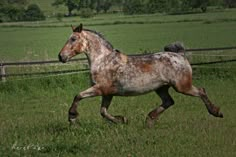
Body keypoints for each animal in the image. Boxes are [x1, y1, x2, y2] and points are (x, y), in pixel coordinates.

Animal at [57, 23, 223, 127]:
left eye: (73, 39)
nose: (61, 56)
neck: (103, 61)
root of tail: (181, 56)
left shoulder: (100, 89)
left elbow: (78, 96)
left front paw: (72, 118)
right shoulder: (108, 93)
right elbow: (103, 112)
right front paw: (122, 120)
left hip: (183, 86)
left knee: (201, 91)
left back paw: (216, 112)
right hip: (161, 88)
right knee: (169, 101)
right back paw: (149, 120)